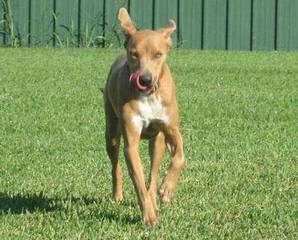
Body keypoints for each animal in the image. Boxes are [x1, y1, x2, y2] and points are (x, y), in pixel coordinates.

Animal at [103, 7, 185, 225]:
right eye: (134, 55)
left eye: (158, 54)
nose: (145, 79)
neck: (148, 95)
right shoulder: (130, 141)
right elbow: (138, 181)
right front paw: (148, 216)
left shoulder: (170, 127)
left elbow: (180, 156)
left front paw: (167, 189)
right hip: (111, 131)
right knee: (115, 163)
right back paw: (118, 195)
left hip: (157, 141)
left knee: (153, 171)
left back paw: (157, 194)